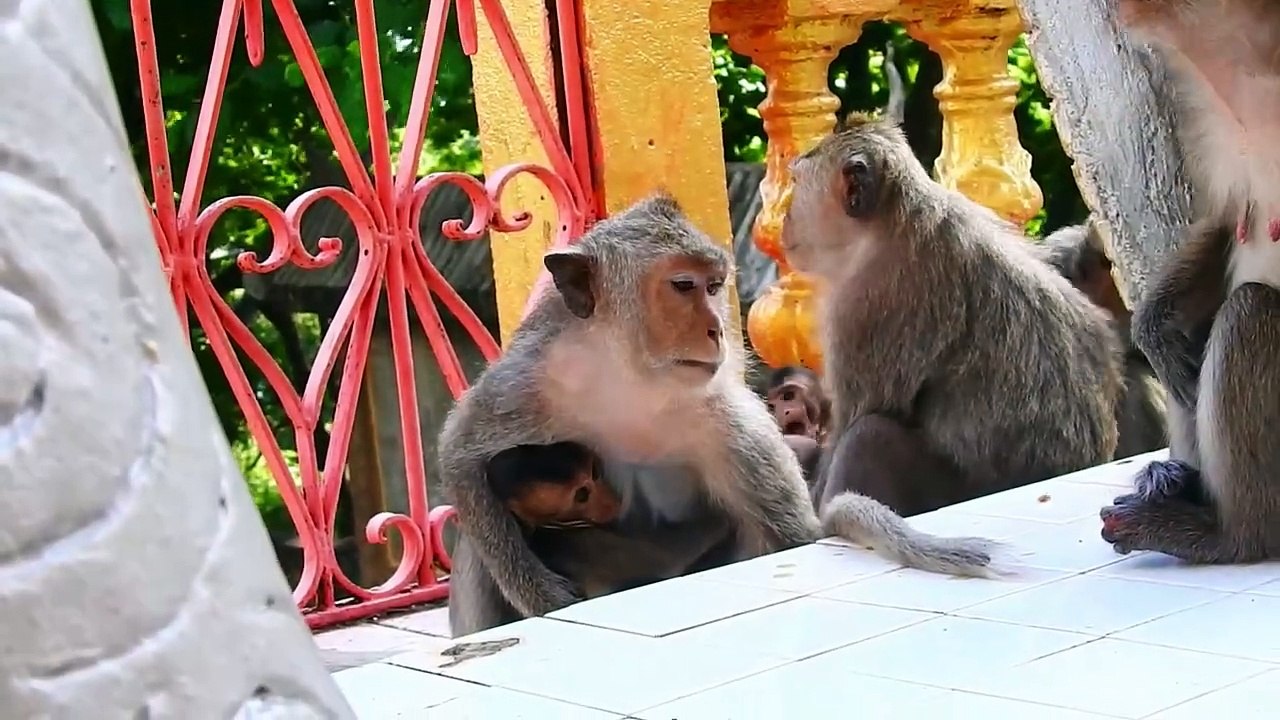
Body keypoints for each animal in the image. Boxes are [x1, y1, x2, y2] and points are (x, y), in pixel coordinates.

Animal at [438, 193, 1001, 637]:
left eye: (713, 287)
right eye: (684, 286)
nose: (717, 330)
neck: (632, 375)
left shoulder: (729, 423)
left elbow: (790, 536)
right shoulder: (534, 377)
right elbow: (463, 457)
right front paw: (544, 597)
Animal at [784, 74, 1124, 520]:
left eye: (796, 186)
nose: (784, 217)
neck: (888, 223)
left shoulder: (865, 306)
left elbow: (851, 421)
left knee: (869, 437)